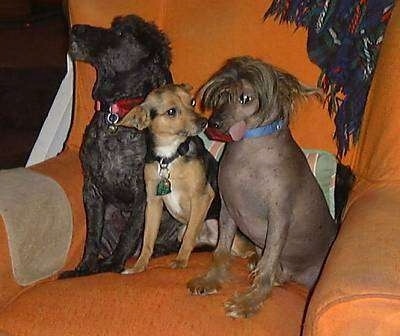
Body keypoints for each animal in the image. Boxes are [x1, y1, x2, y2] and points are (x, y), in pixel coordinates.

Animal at [59, 15, 183, 278]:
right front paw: (85, 267)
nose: (76, 29)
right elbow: (92, 237)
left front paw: (113, 264)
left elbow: (129, 233)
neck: (116, 119)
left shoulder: (144, 193)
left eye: (122, 34)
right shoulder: (92, 190)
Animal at [117, 84, 220, 272]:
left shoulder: (203, 196)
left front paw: (181, 261)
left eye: (192, 102)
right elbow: (148, 239)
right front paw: (139, 266)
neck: (169, 157)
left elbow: (189, 236)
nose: (204, 122)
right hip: (180, 230)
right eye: (171, 111)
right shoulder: (153, 202)